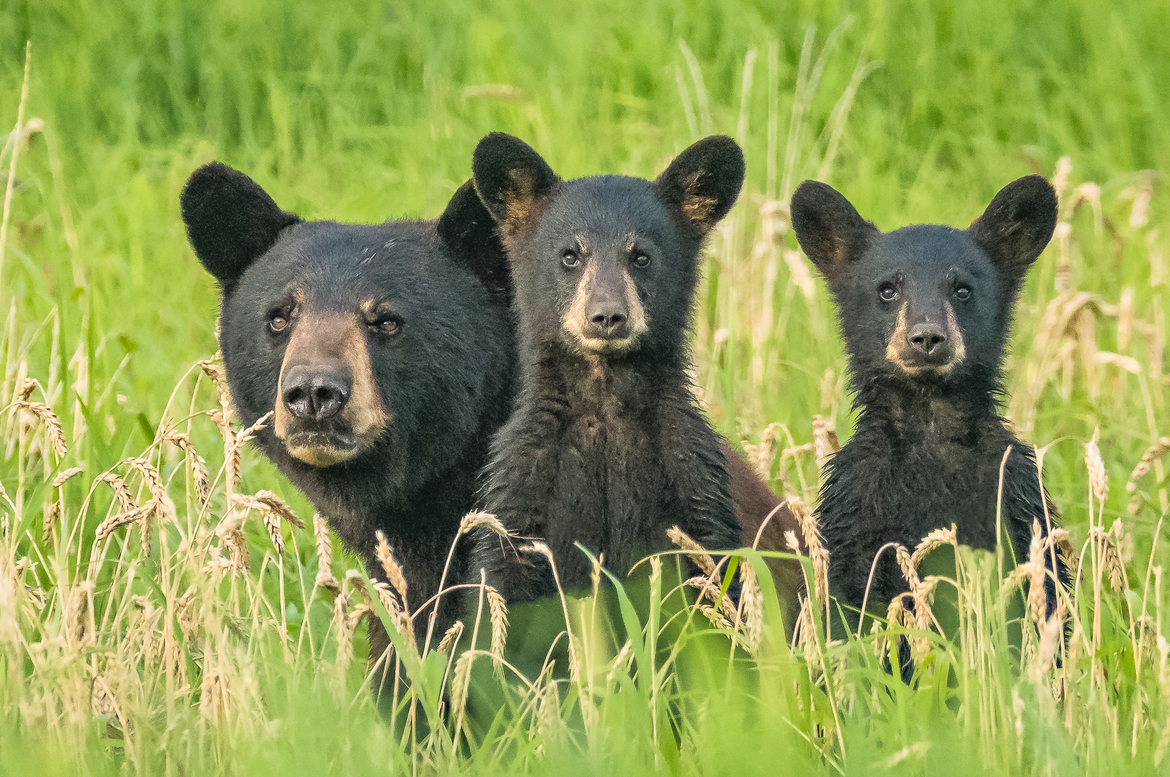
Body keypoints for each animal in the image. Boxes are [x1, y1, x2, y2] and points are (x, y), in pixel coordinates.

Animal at [467, 132, 806, 621]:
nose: (606, 316)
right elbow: (501, 586)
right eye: (570, 255)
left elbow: (716, 588)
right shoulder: (524, 489)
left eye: (641, 256)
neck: (606, 408)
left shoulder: (695, 486)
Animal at [790, 175, 1065, 626]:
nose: (927, 337)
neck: (930, 421)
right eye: (887, 289)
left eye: (963, 289)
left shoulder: (1016, 499)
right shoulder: (856, 511)